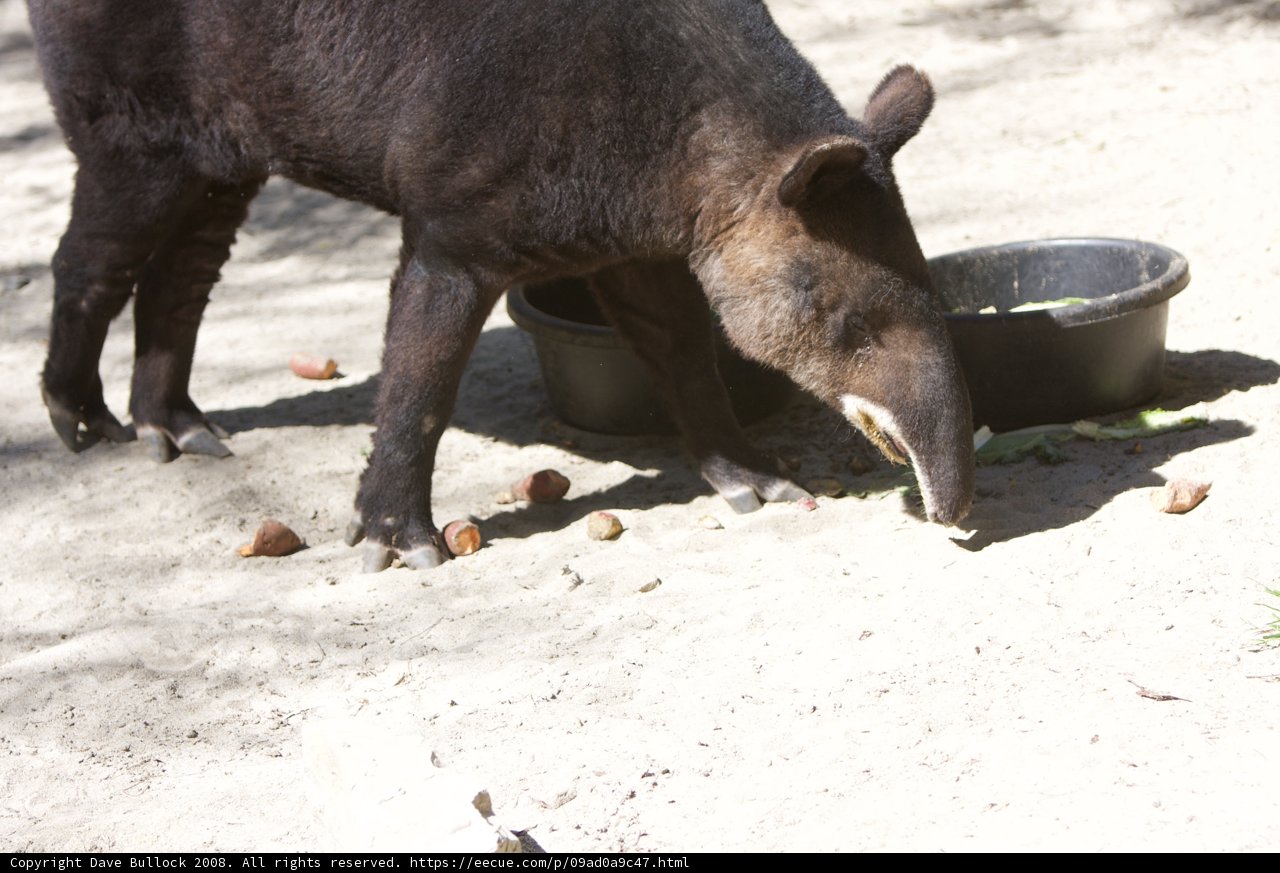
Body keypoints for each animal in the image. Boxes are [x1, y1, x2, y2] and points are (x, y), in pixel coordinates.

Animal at [27, 0, 974, 571]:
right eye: (847, 320)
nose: (953, 510)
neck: (693, 137)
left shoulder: (630, 232)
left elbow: (682, 348)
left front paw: (756, 477)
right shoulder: (454, 229)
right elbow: (420, 381)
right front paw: (396, 542)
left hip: (221, 148)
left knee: (184, 269)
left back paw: (178, 428)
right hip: (132, 122)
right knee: (93, 259)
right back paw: (82, 420)